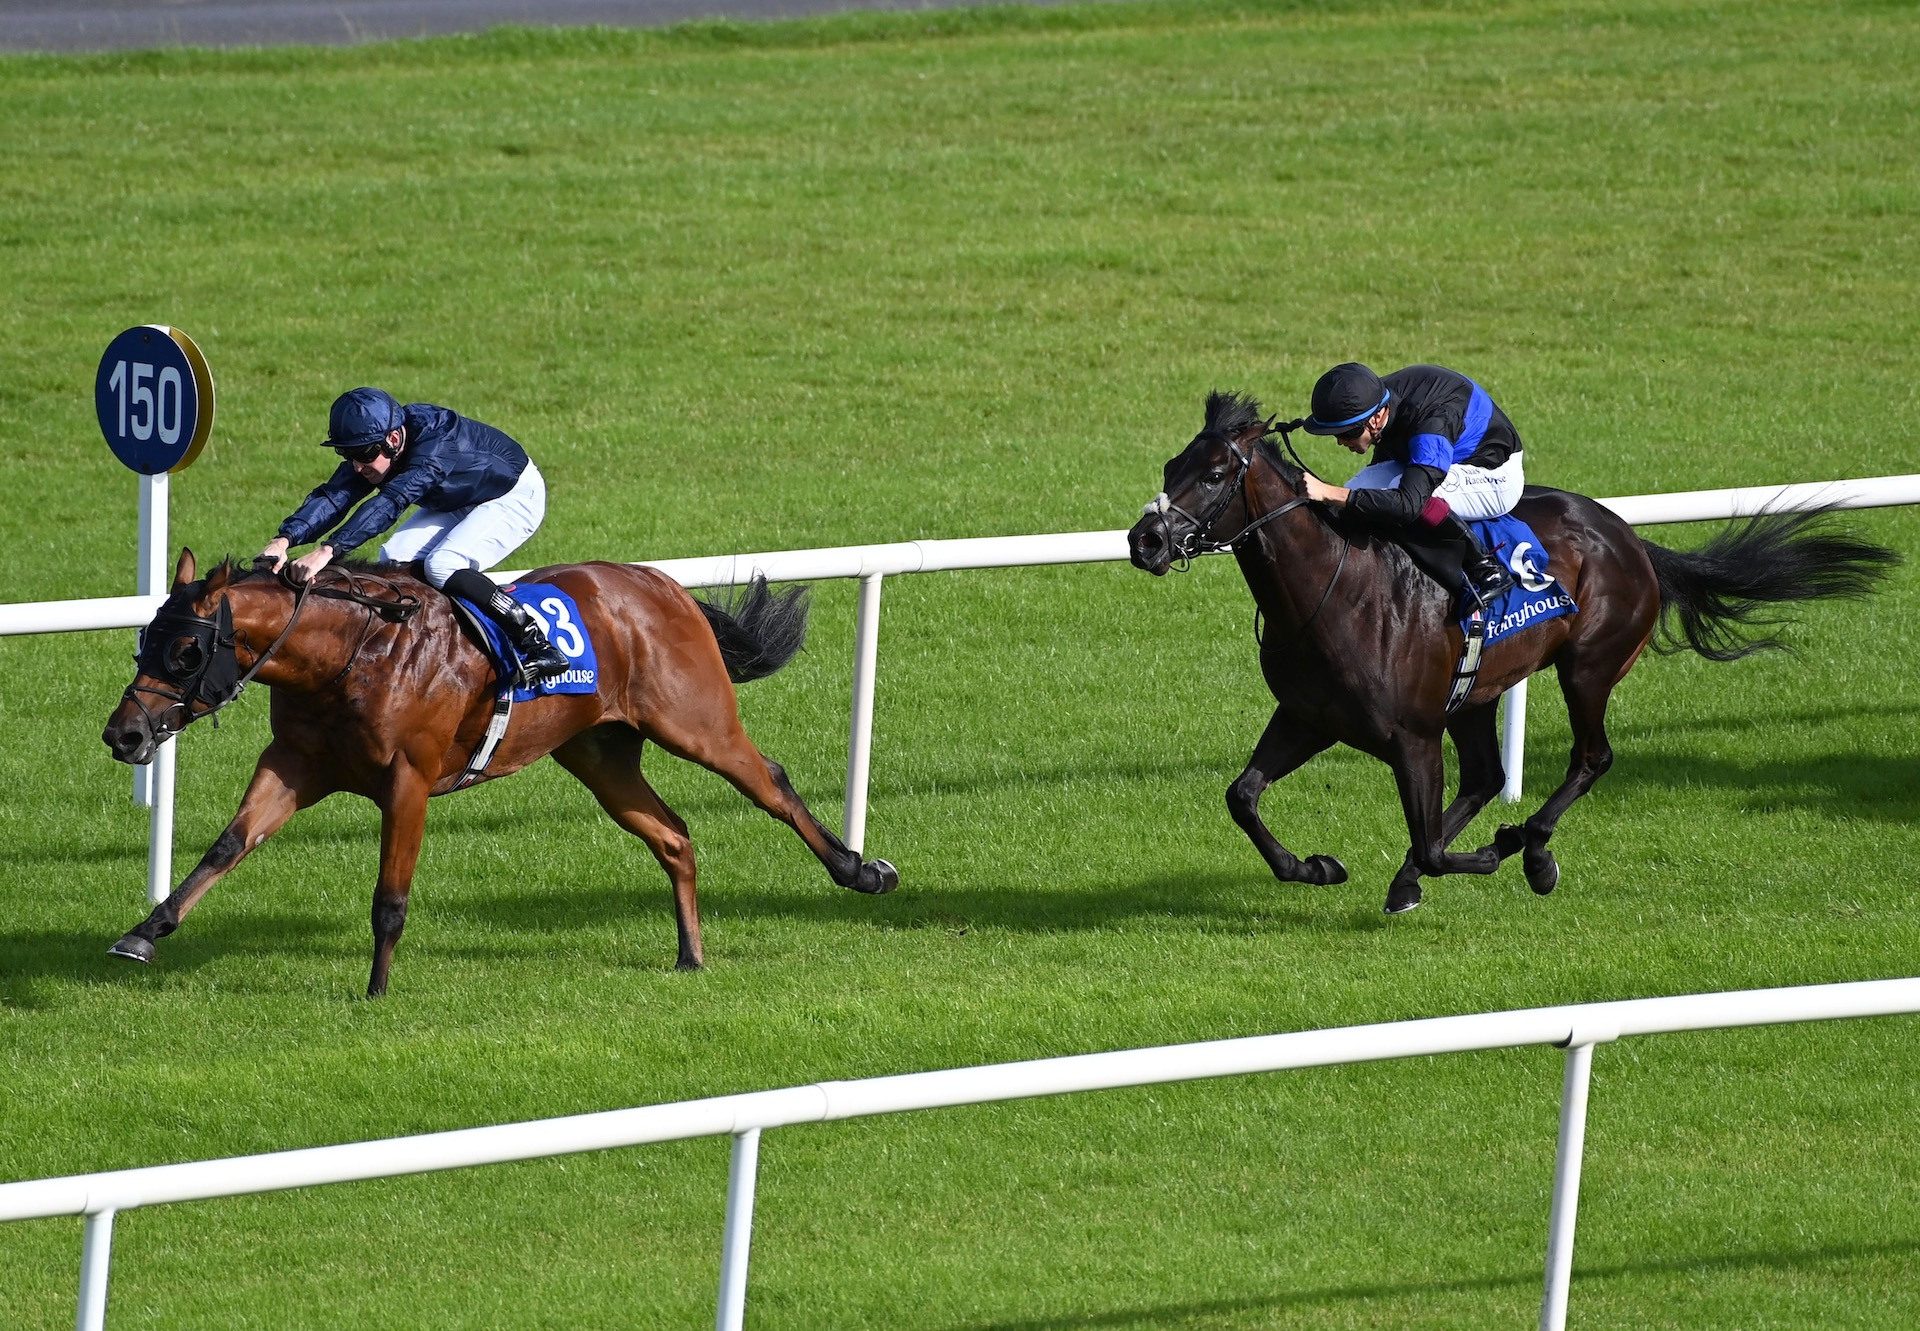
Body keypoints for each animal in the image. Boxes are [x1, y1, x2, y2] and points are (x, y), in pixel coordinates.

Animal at [108, 545, 902, 991]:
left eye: (186, 650)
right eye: (145, 639)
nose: (124, 733)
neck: (351, 654)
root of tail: (662, 586)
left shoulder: (408, 780)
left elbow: (390, 896)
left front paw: (376, 990)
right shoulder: (296, 762)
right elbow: (226, 846)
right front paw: (143, 933)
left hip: (698, 724)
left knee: (772, 782)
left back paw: (860, 870)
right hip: (598, 754)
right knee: (673, 835)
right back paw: (690, 956)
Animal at [1128, 389, 1896, 918]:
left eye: (1217, 472)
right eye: (1172, 464)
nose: (1146, 540)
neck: (1336, 588)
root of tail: (1629, 538)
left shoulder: (1411, 735)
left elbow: (1434, 844)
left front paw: (1499, 849)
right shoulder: (1309, 716)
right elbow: (1242, 796)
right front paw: (1317, 867)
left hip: (1589, 665)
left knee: (1589, 758)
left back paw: (1534, 848)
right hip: (1478, 692)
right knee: (1485, 774)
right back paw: (1423, 873)